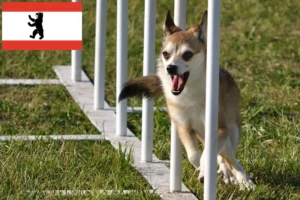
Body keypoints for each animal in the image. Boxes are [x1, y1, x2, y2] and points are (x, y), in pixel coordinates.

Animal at [119, 10, 255, 190]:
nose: (170, 68)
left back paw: (242, 179)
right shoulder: (184, 127)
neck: (189, 94)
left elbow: (209, 154)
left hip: (232, 129)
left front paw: (207, 171)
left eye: (187, 55)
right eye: (166, 54)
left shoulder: (220, 129)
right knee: (221, 155)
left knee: (229, 155)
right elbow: (194, 155)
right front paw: (203, 170)